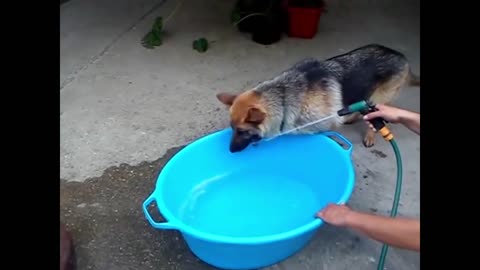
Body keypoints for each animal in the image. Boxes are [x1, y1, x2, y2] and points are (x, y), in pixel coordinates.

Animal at [216, 44, 418, 152]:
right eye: (232, 129)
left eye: (242, 131)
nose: (230, 151)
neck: (284, 97)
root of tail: (401, 56)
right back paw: (351, 116)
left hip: (378, 99)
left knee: (374, 120)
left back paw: (369, 135)